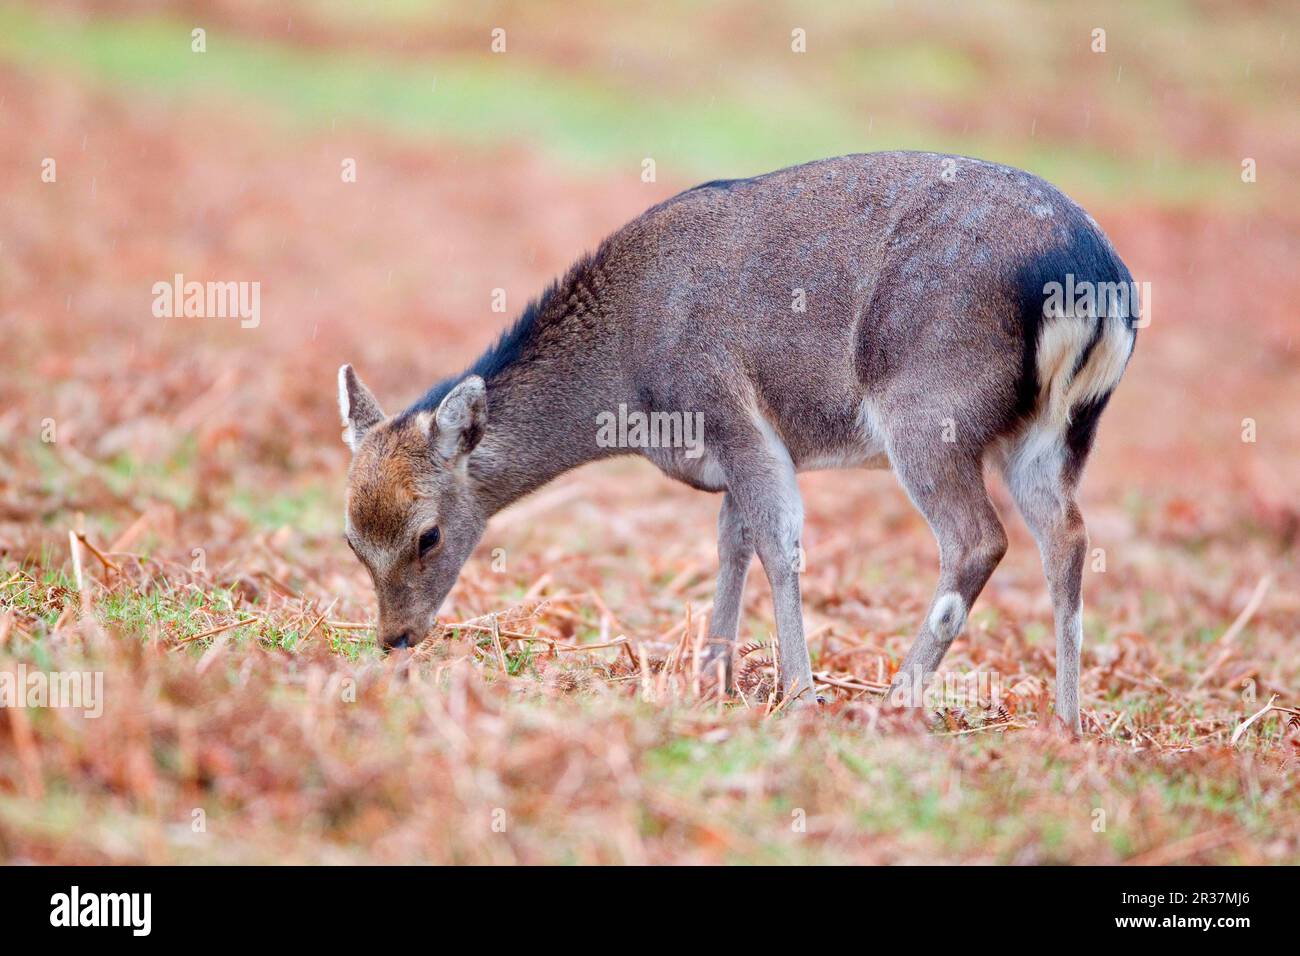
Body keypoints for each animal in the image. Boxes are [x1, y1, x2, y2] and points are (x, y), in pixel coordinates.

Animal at [338, 151, 1138, 733]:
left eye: (428, 536)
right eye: (350, 540)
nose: (395, 638)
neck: (634, 388)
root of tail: (1094, 277)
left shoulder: (732, 412)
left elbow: (779, 543)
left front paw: (799, 697)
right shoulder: (729, 453)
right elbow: (734, 543)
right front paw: (711, 678)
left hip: (928, 408)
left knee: (978, 539)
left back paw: (892, 704)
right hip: (1058, 433)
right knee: (1067, 536)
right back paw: (1067, 725)